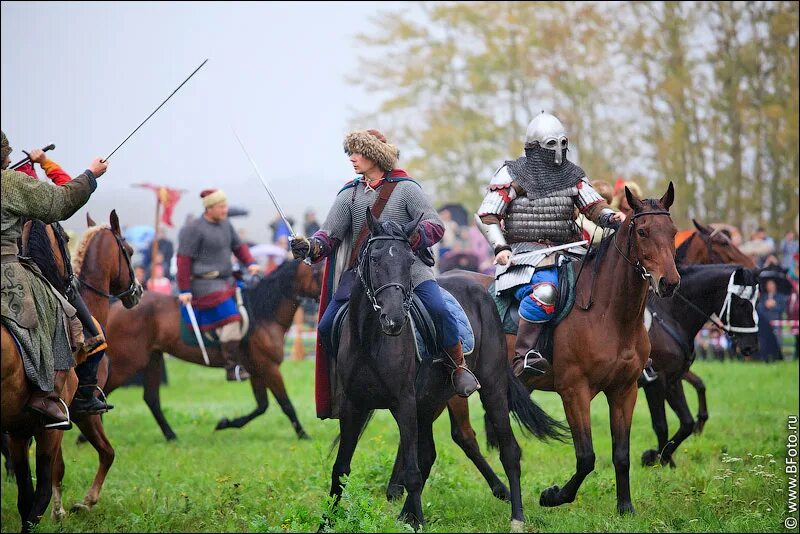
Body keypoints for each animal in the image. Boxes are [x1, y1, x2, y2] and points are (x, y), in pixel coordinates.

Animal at [102, 258, 322, 442]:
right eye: (318, 272)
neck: (263, 315)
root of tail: (115, 307)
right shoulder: (269, 368)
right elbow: (286, 404)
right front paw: (304, 435)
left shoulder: (258, 370)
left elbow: (262, 406)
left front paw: (226, 423)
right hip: (127, 364)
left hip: (152, 360)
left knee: (151, 399)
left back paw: (171, 435)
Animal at [324, 209, 564, 532]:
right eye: (374, 259)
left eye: (408, 261)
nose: (394, 319)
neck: (369, 341)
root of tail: (483, 292)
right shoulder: (354, 406)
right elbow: (341, 467)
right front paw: (327, 521)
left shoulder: (404, 404)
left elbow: (411, 471)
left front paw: (418, 521)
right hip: (430, 403)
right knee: (430, 454)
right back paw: (407, 515)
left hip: (491, 389)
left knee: (509, 450)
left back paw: (517, 516)